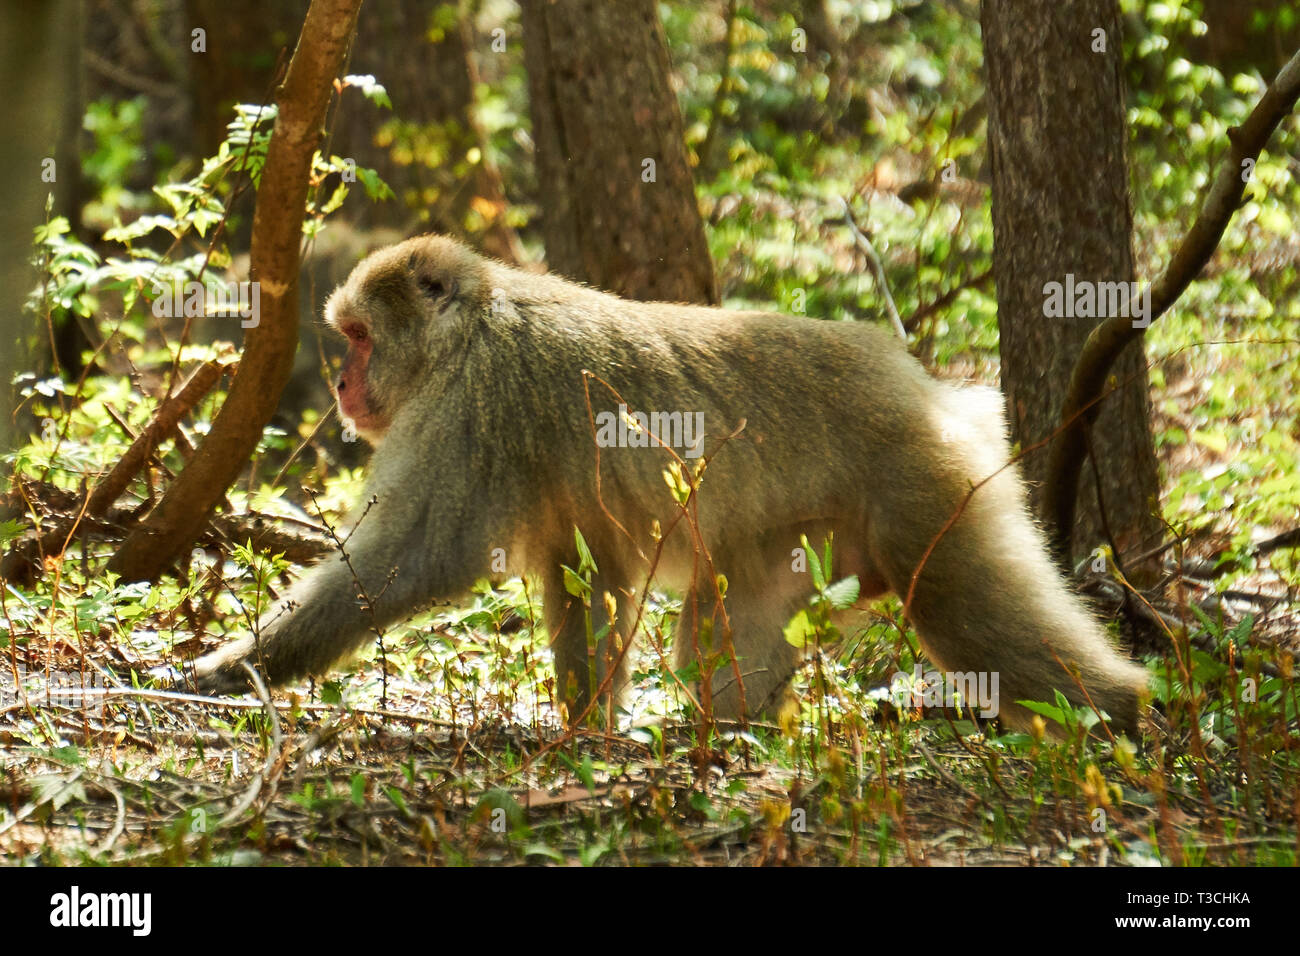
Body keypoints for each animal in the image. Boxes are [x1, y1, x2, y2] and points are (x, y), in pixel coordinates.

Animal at [188, 233, 1149, 735]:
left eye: (357, 337)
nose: (344, 386)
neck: (471, 328)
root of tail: (930, 390)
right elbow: (589, 575)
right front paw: (586, 728)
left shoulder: (471, 411)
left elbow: (413, 559)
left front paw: (233, 666)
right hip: (809, 538)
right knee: (728, 627)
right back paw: (724, 734)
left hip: (929, 491)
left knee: (969, 605)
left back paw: (1122, 712)